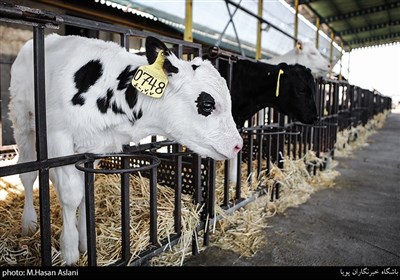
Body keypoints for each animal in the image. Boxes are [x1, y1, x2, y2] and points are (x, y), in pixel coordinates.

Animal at [8, 34, 241, 264]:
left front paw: (85, 241)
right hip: (22, 119)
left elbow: (85, 191)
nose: (238, 145)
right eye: (207, 104)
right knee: (28, 174)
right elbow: (71, 194)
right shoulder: (59, 136)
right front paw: (69, 250)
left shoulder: (94, 148)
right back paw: (29, 223)